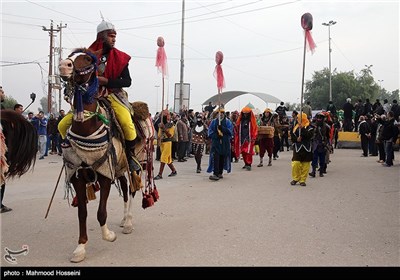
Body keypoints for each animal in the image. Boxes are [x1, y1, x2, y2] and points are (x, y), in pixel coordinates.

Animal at [59, 48, 138, 262]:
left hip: (125, 166)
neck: (87, 127)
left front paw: (108, 235)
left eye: (87, 58)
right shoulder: (77, 176)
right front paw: (80, 247)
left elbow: (101, 212)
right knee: (125, 189)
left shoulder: (105, 174)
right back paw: (124, 220)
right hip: (119, 169)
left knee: (130, 191)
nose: (63, 65)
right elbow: (82, 213)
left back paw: (128, 222)